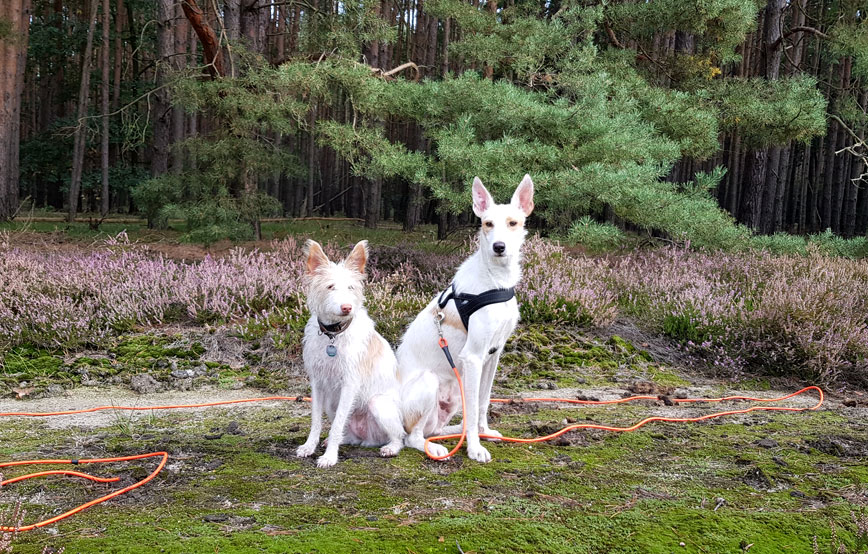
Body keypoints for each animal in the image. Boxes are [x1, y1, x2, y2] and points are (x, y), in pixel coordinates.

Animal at [296, 239, 408, 468]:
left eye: (351, 287)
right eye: (330, 286)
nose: (346, 307)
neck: (334, 335)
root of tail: (367, 439)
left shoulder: (349, 384)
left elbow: (337, 424)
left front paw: (330, 457)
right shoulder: (317, 384)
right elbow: (316, 421)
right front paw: (309, 447)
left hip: (378, 404)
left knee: (398, 436)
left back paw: (391, 448)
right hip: (331, 402)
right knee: (346, 433)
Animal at [396, 175, 532, 460]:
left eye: (513, 223)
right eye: (487, 223)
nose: (499, 247)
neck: (496, 281)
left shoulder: (493, 356)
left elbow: (482, 403)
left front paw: (483, 432)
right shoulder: (473, 357)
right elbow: (474, 407)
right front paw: (474, 448)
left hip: (455, 392)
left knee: (437, 427)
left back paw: (453, 432)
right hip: (430, 383)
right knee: (411, 437)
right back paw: (436, 447)